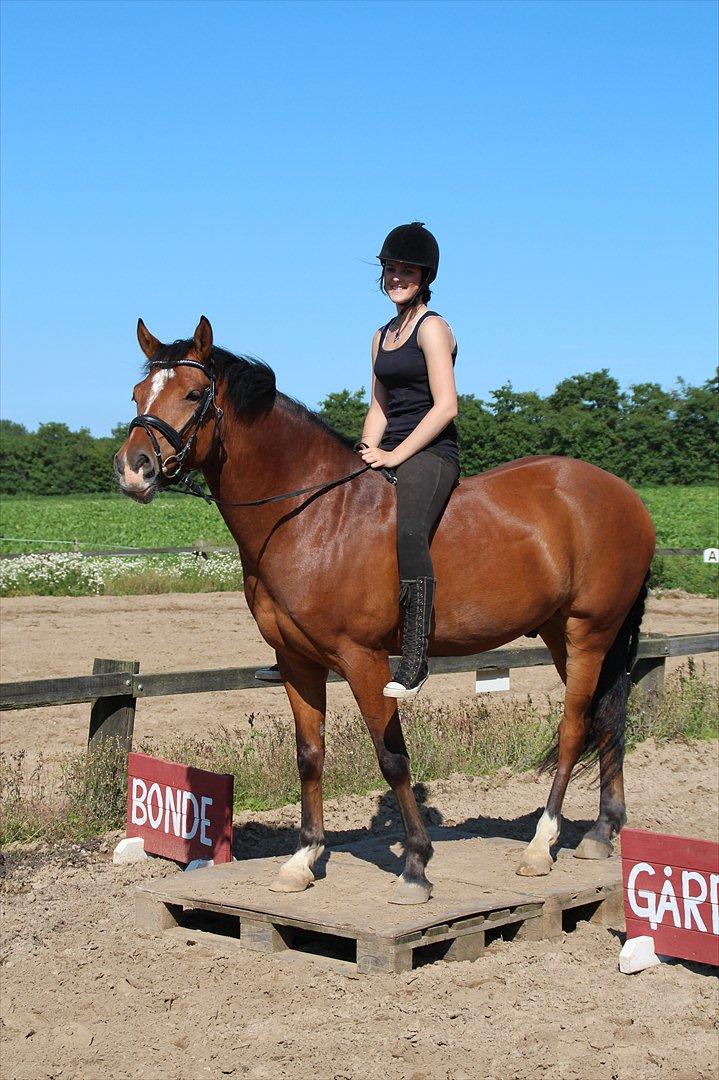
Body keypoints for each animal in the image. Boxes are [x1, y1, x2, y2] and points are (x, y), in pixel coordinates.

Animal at [115, 316, 655, 905]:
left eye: (193, 394)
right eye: (138, 393)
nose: (134, 470)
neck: (309, 515)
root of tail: (623, 494)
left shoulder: (363, 659)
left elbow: (392, 756)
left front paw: (416, 864)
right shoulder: (298, 662)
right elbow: (309, 754)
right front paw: (303, 859)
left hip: (589, 632)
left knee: (575, 724)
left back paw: (541, 844)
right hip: (562, 634)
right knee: (605, 716)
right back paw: (602, 831)